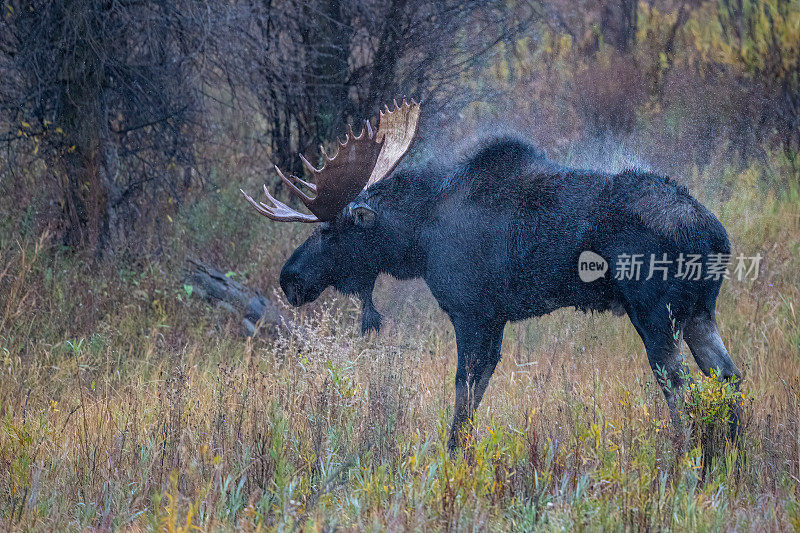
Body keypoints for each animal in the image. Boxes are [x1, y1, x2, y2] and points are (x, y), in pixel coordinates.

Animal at [241, 101, 740, 448]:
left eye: (330, 230)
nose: (290, 278)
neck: (419, 237)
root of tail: (716, 235)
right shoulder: (495, 320)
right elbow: (474, 398)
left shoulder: (472, 313)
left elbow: (462, 399)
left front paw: (452, 459)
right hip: (699, 312)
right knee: (728, 378)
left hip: (656, 312)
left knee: (680, 387)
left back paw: (684, 459)